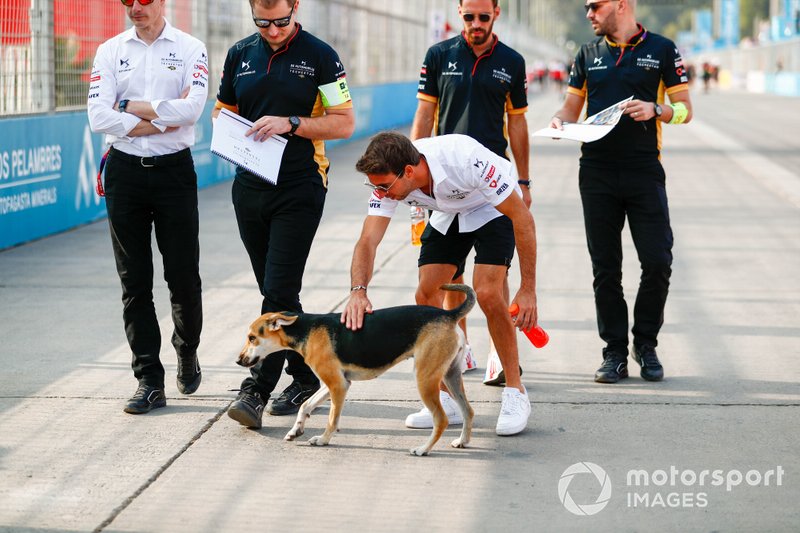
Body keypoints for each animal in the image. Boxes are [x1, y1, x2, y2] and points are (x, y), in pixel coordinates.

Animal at [238, 284, 476, 456]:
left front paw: (323, 440)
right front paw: (295, 430)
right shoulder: (335, 383)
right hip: (451, 376)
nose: (239, 360)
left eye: (252, 338)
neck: (306, 330)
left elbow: (332, 419)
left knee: (441, 419)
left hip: (425, 378)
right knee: (468, 411)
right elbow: (305, 405)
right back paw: (462, 441)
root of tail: (449, 315)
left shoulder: (338, 386)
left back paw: (423, 449)